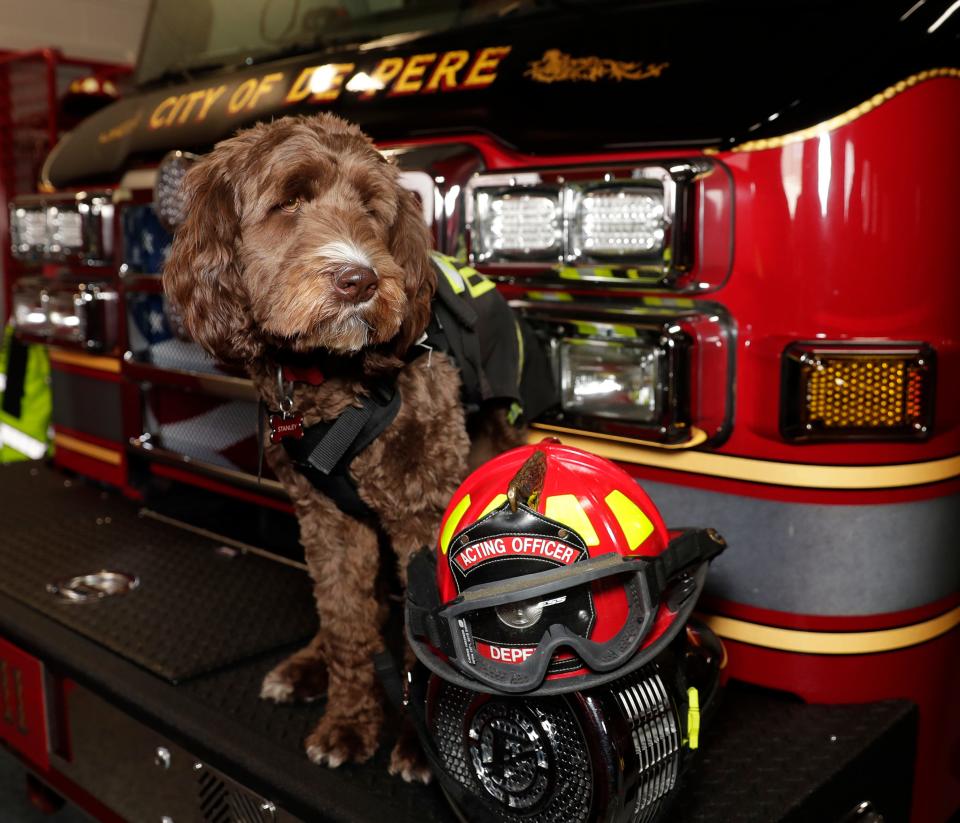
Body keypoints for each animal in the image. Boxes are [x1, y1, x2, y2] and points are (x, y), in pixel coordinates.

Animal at [163, 114, 524, 780]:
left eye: (372, 210)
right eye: (289, 202)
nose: (360, 279)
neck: (331, 386)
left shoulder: (422, 512)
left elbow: (426, 635)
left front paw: (422, 748)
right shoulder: (327, 520)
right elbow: (346, 624)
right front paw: (350, 723)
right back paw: (306, 666)